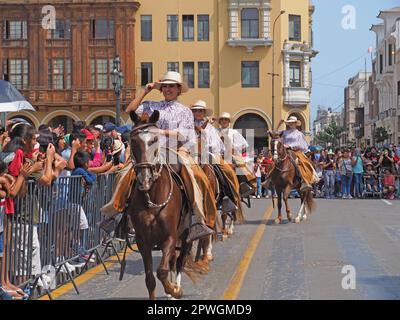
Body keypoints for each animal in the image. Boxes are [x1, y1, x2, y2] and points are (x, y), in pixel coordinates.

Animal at [127, 110, 195, 300]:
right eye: (133, 141)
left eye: (154, 140)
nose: (145, 178)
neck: (152, 199)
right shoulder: (142, 241)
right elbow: (150, 278)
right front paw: (168, 290)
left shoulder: (169, 237)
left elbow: (162, 271)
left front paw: (174, 290)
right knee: (173, 261)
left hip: (185, 234)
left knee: (179, 261)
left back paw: (176, 287)